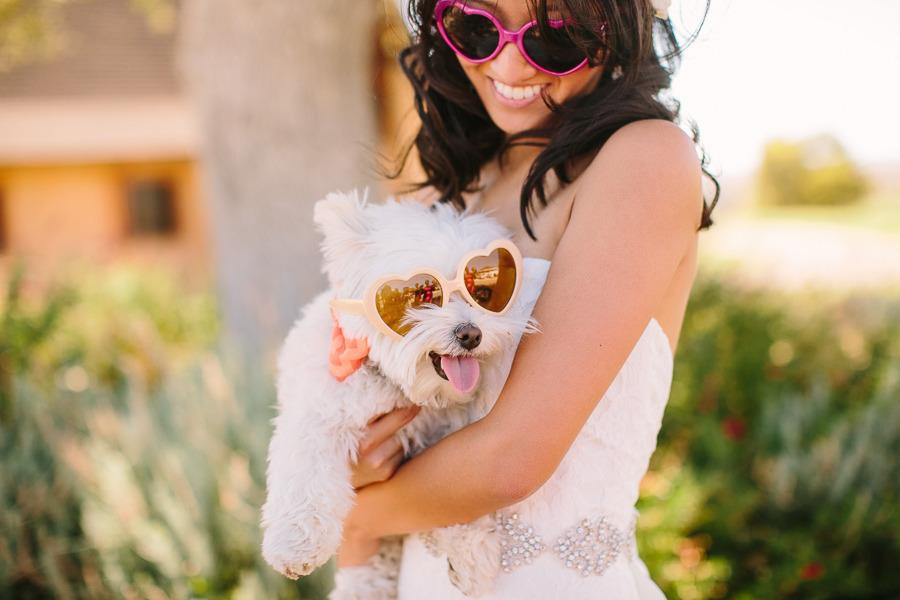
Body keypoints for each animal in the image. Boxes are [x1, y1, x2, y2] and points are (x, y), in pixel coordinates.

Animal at [262, 190, 540, 596]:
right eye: (420, 296)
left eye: (483, 292)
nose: (471, 334)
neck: (406, 389)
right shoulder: (317, 414)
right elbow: (305, 475)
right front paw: (296, 541)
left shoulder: (449, 444)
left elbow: (456, 496)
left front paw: (471, 548)